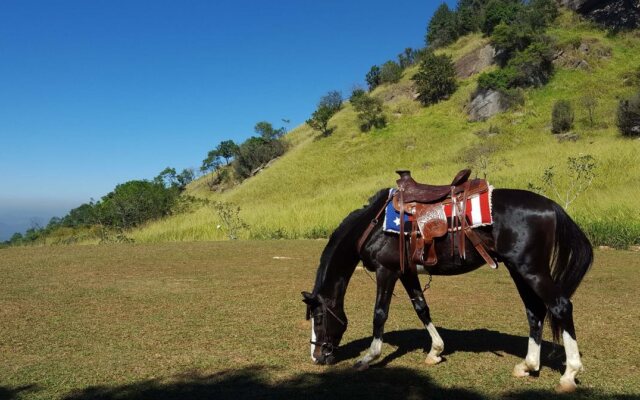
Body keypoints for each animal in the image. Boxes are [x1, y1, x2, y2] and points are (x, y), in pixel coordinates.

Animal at [302, 188, 592, 394]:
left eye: (318, 318)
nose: (317, 357)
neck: (373, 225)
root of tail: (551, 206)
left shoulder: (387, 271)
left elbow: (380, 314)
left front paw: (368, 358)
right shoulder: (406, 273)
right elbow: (421, 308)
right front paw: (435, 351)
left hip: (531, 269)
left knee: (560, 306)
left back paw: (569, 374)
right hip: (518, 269)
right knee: (535, 312)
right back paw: (527, 365)